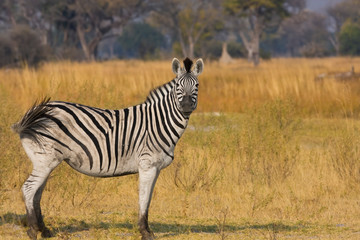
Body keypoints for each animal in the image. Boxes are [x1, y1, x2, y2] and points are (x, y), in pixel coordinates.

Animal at [11, 57, 202, 239]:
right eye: (177, 86)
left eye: (197, 86)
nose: (186, 107)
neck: (158, 122)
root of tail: (32, 114)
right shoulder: (147, 165)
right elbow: (144, 198)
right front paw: (145, 232)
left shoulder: (156, 168)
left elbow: (148, 200)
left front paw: (147, 230)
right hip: (45, 159)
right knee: (29, 189)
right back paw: (32, 231)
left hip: (45, 161)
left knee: (37, 193)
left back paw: (44, 230)